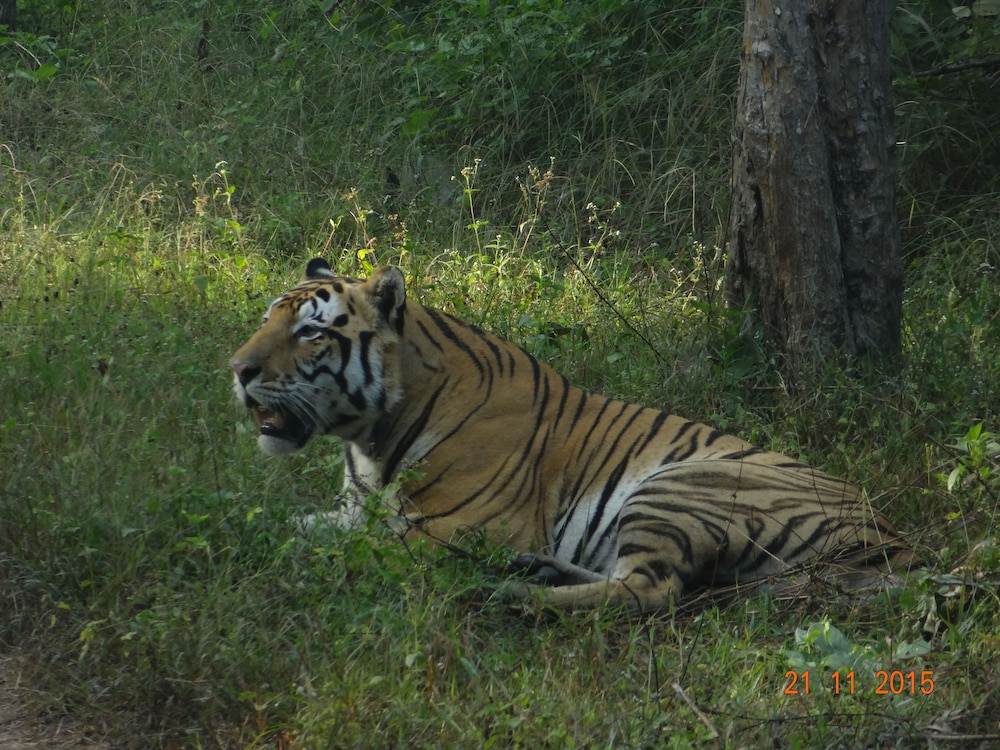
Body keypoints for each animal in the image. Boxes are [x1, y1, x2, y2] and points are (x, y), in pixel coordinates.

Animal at [230, 258, 914, 612]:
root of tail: (894, 539)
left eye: (311, 331)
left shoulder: (463, 527)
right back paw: (537, 573)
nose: (237, 369)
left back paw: (514, 592)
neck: (371, 436)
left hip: (679, 486)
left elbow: (361, 551)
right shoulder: (355, 509)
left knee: (651, 590)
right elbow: (285, 525)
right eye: (267, 318)